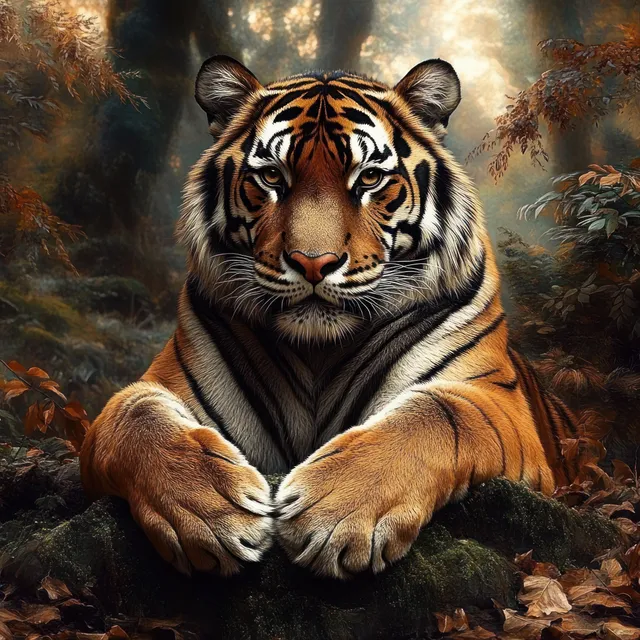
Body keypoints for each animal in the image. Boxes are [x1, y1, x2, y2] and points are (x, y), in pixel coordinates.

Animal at [80, 55, 577, 580]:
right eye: (272, 177)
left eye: (369, 178)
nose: (313, 262)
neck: (317, 350)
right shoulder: (156, 387)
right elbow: (136, 414)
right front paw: (211, 511)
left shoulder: (496, 399)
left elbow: (435, 413)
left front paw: (335, 512)